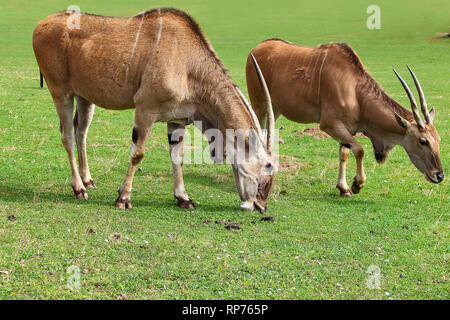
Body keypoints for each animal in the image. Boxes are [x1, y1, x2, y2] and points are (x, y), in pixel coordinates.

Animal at [31, 7, 276, 211]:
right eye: (268, 165)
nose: (261, 206)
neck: (188, 63)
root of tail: (41, 24)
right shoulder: (145, 110)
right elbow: (137, 153)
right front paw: (123, 198)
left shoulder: (176, 121)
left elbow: (177, 156)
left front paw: (183, 198)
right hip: (61, 93)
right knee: (67, 135)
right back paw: (78, 188)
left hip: (84, 97)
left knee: (80, 132)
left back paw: (87, 180)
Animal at [246, 38, 442, 196]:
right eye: (423, 141)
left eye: (439, 140)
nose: (439, 175)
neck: (355, 91)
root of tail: (256, 49)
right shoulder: (330, 125)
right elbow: (360, 150)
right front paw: (356, 184)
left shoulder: (347, 130)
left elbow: (345, 153)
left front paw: (344, 188)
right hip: (259, 105)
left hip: (274, 109)